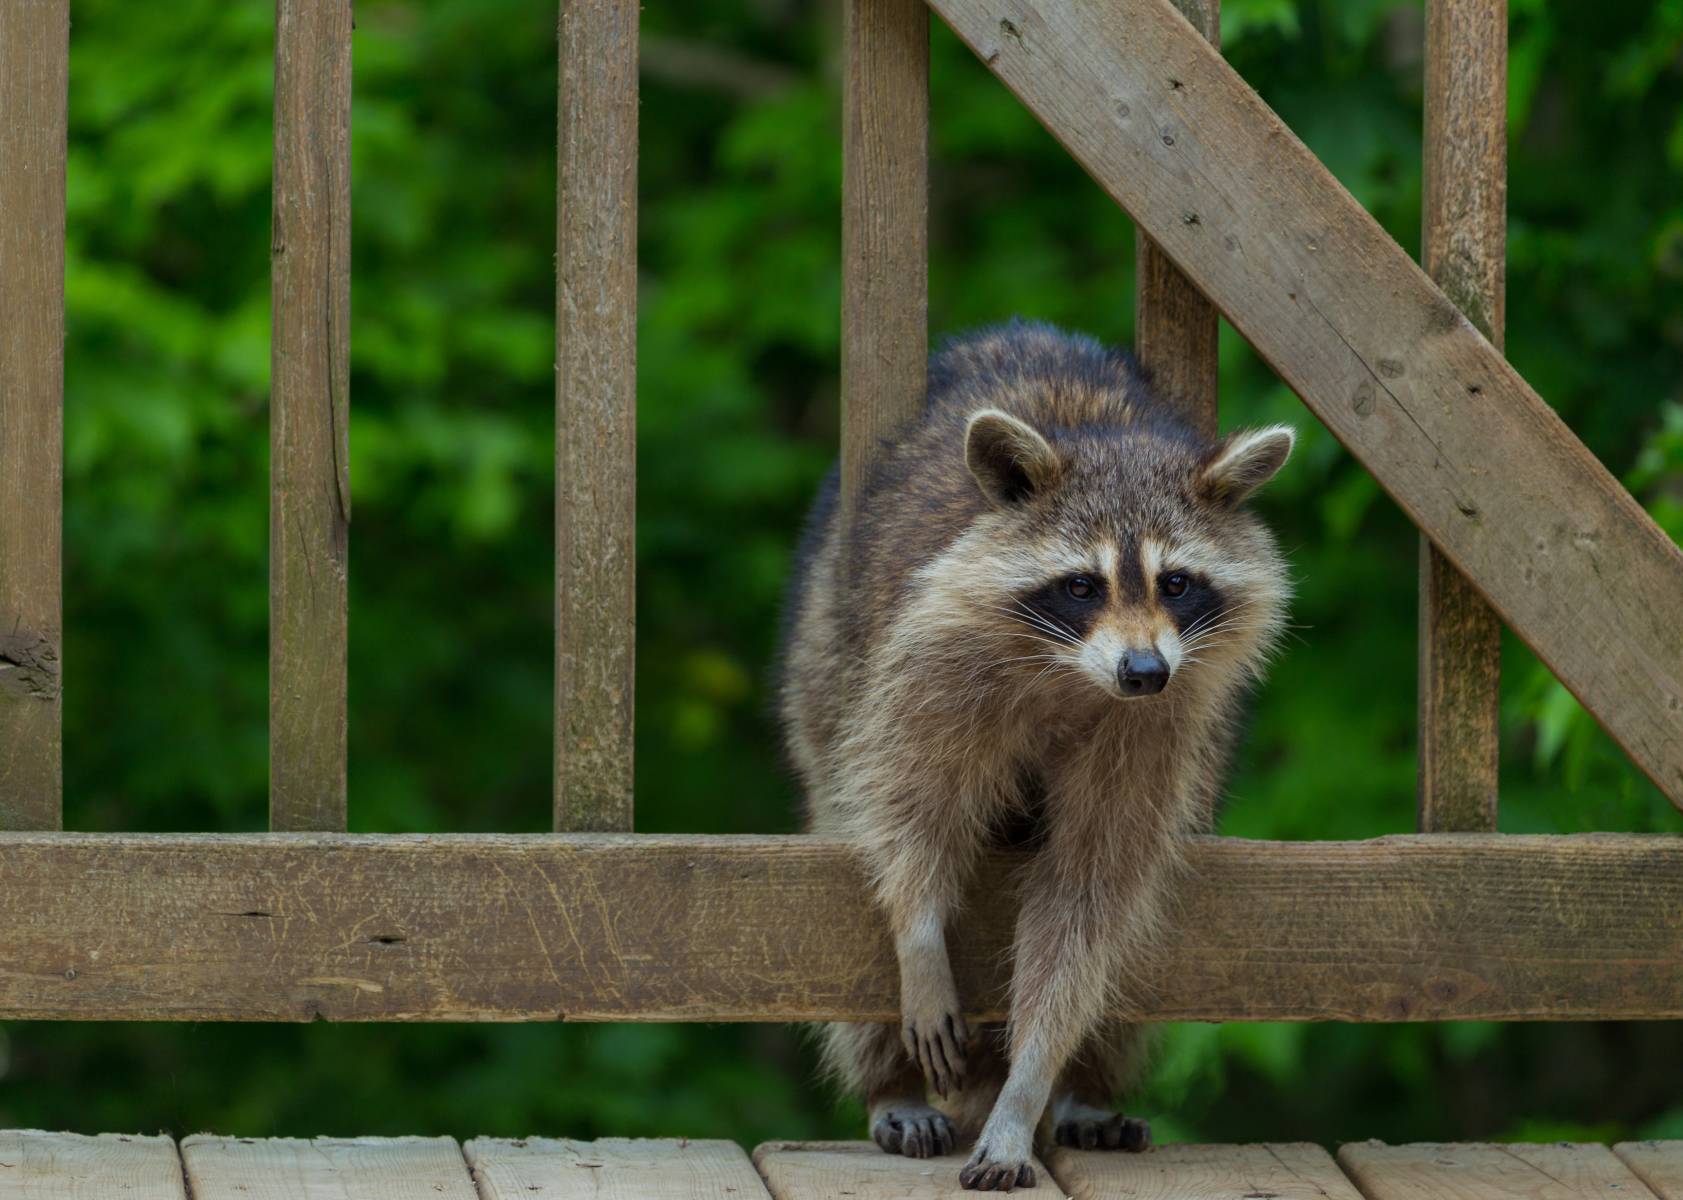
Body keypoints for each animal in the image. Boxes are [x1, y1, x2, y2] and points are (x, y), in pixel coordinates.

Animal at [779, 321, 1294, 1190]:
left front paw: (1027, 1086)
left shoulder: (1160, 726)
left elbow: (1087, 900)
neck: (1076, 674)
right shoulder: (927, 663)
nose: (1143, 671)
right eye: (1082, 585)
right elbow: (909, 809)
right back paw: (890, 1085)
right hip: (822, 649)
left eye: (1177, 583)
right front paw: (920, 936)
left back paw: (1083, 1089)